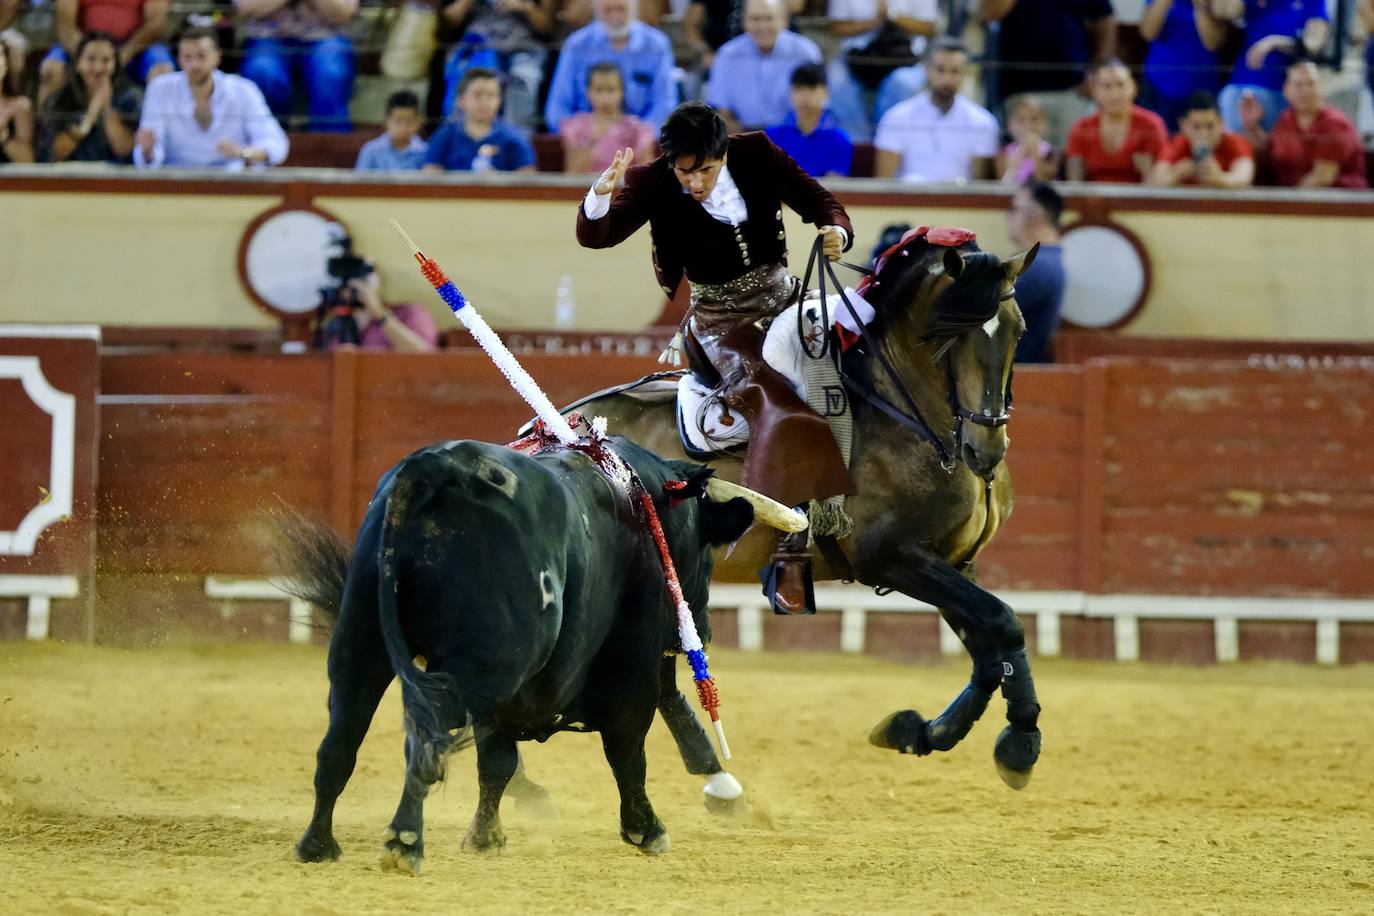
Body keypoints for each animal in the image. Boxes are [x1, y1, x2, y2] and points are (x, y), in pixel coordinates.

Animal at [288, 439, 752, 873]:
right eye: (706, 549)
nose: (702, 629)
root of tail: (434, 470)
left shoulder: (504, 701)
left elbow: (497, 762)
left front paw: (485, 836)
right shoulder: (632, 669)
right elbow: (627, 750)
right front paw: (646, 829)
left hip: (360, 643)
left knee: (340, 741)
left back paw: (317, 845)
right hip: (481, 666)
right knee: (425, 741)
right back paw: (404, 842)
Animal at [555, 229, 1038, 796]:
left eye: (1019, 330)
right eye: (947, 335)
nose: (986, 450)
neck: (906, 417)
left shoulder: (954, 561)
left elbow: (987, 647)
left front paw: (923, 732)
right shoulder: (894, 558)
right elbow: (1003, 622)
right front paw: (1020, 741)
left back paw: (712, 773)